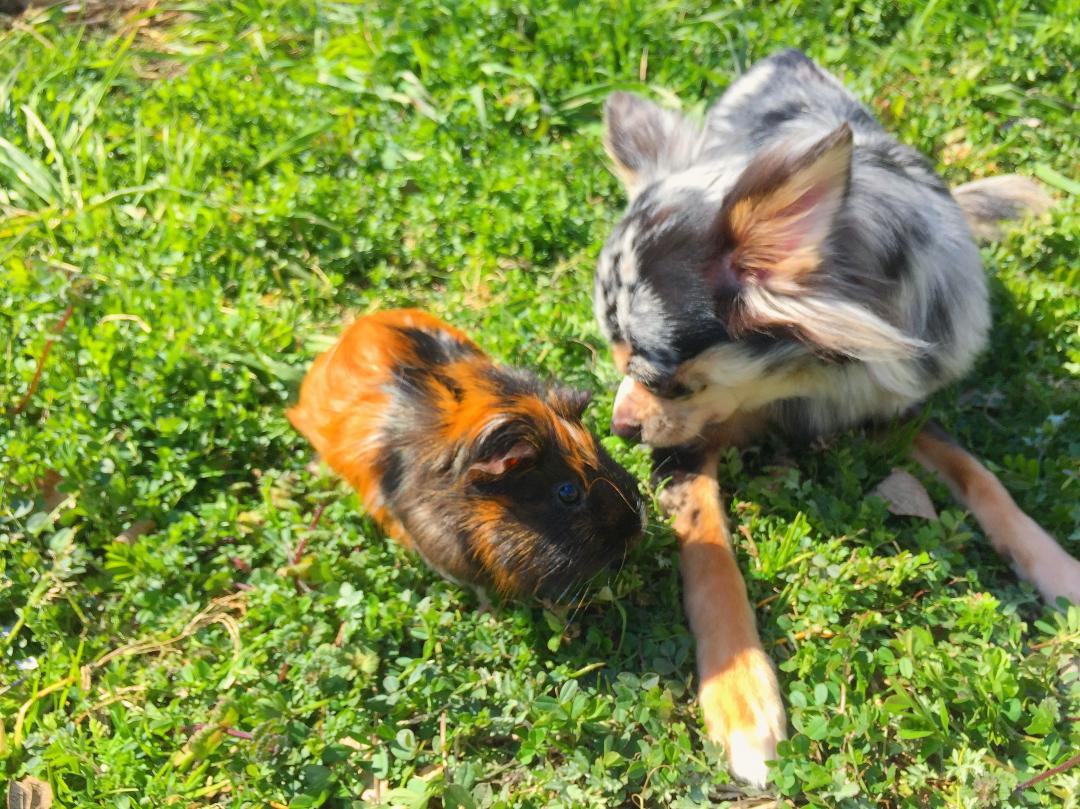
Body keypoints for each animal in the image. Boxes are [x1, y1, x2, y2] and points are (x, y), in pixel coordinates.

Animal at [591, 47, 1080, 786]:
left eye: (659, 379)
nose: (618, 429)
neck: (794, 378)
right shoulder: (686, 448)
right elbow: (710, 552)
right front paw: (741, 697)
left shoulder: (893, 404)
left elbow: (982, 476)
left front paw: (1059, 569)